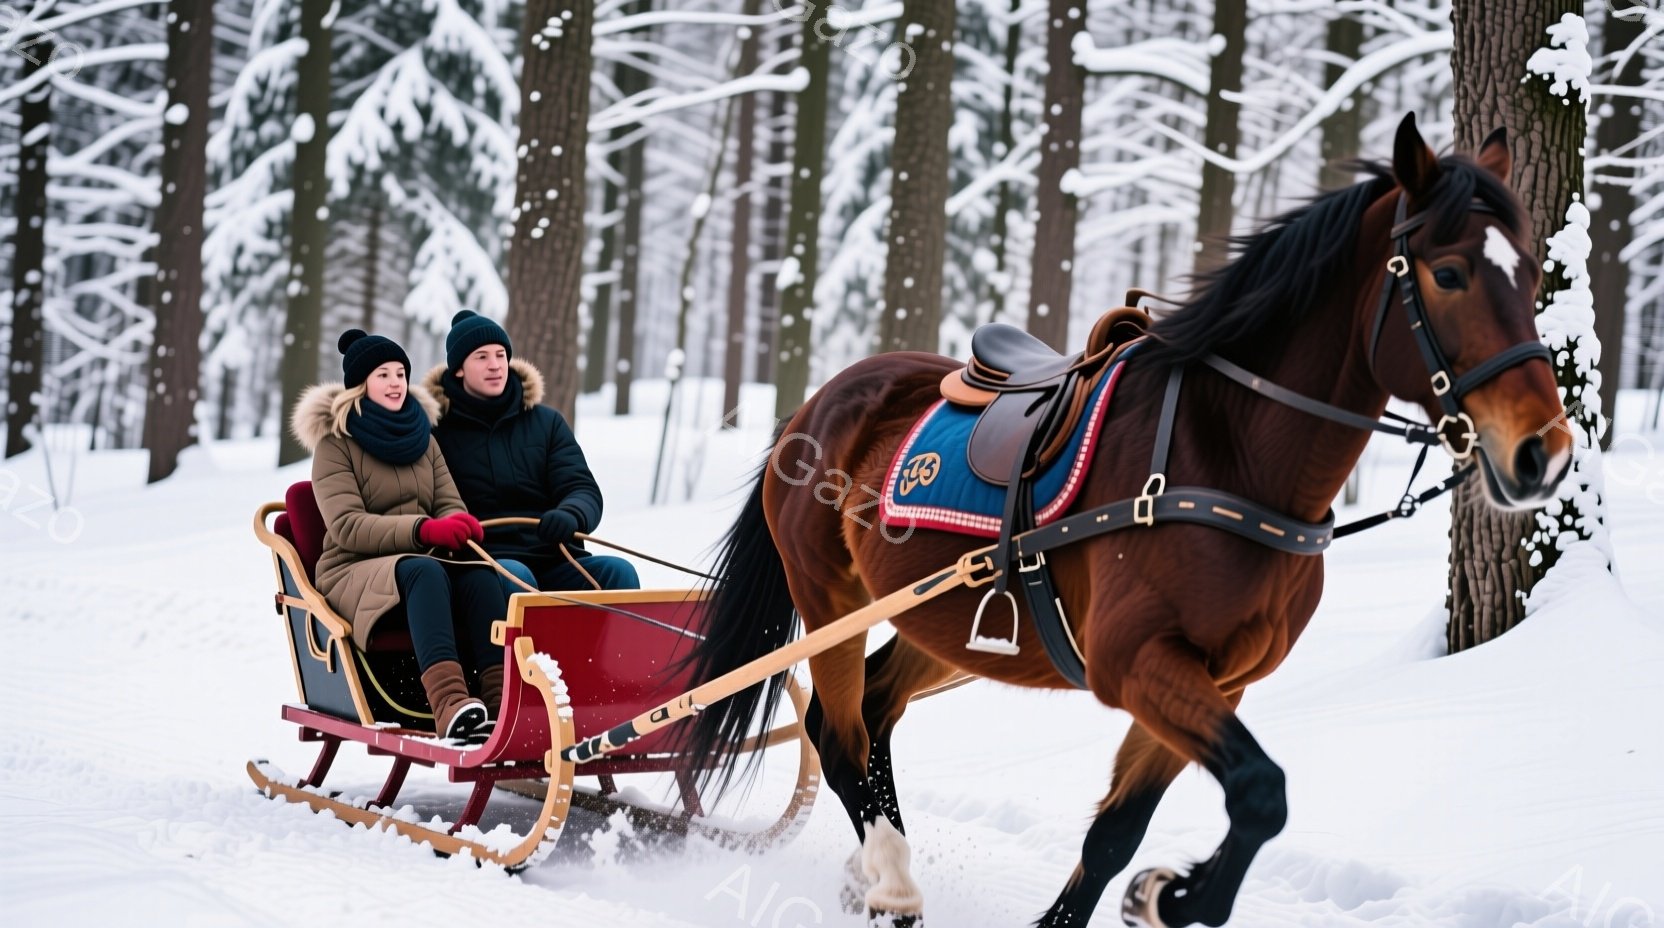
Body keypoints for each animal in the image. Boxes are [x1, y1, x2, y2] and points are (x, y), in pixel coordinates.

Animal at [683, 114, 1571, 927]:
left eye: (1531, 272)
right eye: (1449, 273)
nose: (1544, 452)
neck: (1226, 459)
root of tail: (824, 399)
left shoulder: (1218, 680)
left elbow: (1121, 832)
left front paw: (1154, 893)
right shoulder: (1137, 660)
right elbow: (1262, 791)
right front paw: (1178, 894)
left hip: (945, 623)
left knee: (872, 712)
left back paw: (868, 870)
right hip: (833, 601)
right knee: (838, 738)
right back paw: (892, 882)